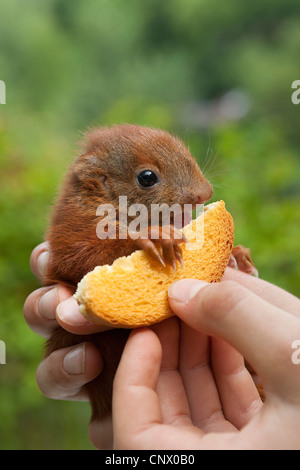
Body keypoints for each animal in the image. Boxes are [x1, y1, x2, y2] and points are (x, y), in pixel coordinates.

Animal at [44, 125, 255, 422]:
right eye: (147, 178)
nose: (204, 193)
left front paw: (236, 254)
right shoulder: (73, 227)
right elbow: (79, 255)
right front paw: (153, 237)